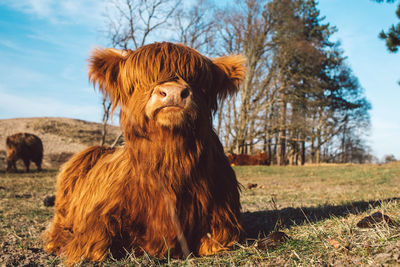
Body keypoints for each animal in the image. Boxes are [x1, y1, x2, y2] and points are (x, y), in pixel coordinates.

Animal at [42, 42, 245, 264]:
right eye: (141, 80)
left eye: (198, 80)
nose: (173, 92)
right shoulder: (97, 220)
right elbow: (94, 246)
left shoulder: (224, 218)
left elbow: (215, 242)